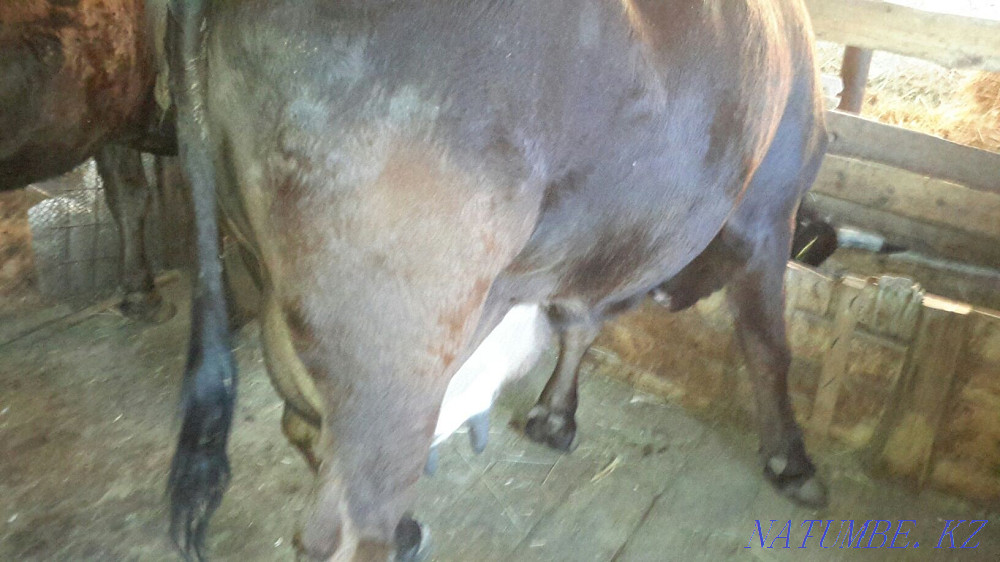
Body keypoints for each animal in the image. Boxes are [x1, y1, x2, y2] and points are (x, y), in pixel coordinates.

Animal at [165, 1, 829, 560]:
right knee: (350, 522)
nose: (668, 295)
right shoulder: (769, 209)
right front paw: (792, 461)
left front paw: (554, 416)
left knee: (306, 427)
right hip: (397, 351)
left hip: (273, 288)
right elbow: (768, 344)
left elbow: (576, 326)